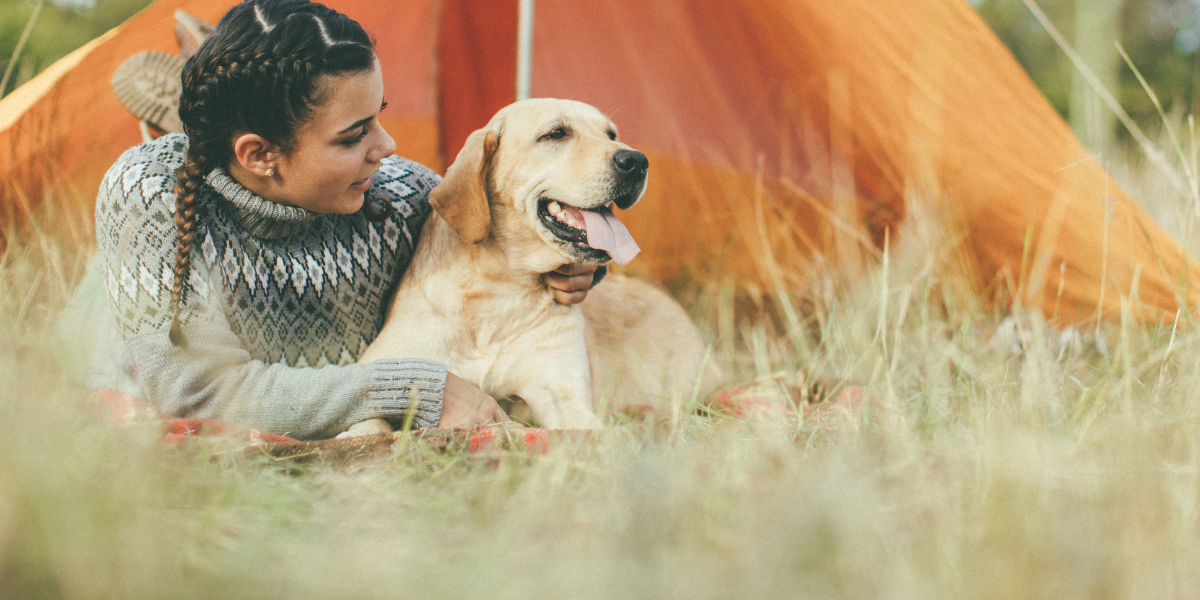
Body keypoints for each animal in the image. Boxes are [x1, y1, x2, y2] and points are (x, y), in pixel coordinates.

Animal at [350, 98, 715, 432]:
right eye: (556, 133)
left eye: (611, 134)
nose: (637, 161)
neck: (501, 289)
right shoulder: (387, 375)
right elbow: (368, 429)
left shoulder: (563, 394)